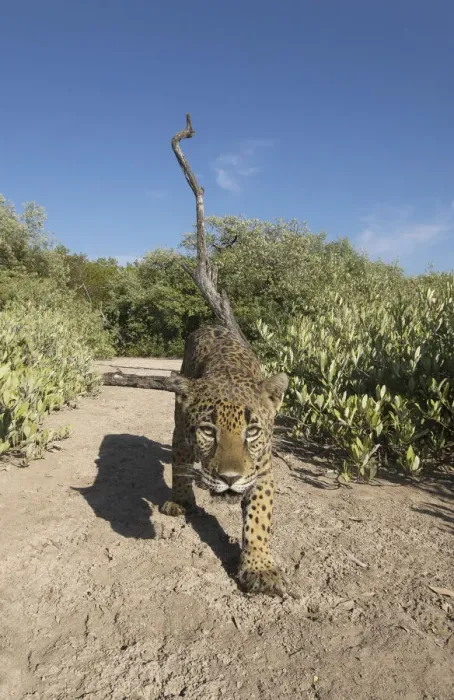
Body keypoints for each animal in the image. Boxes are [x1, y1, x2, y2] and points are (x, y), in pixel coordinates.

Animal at [161, 324, 289, 596]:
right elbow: (180, 469)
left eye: (252, 431)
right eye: (208, 431)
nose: (230, 478)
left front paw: (260, 568)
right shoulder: (181, 436)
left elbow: (258, 517)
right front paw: (181, 501)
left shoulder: (262, 471)